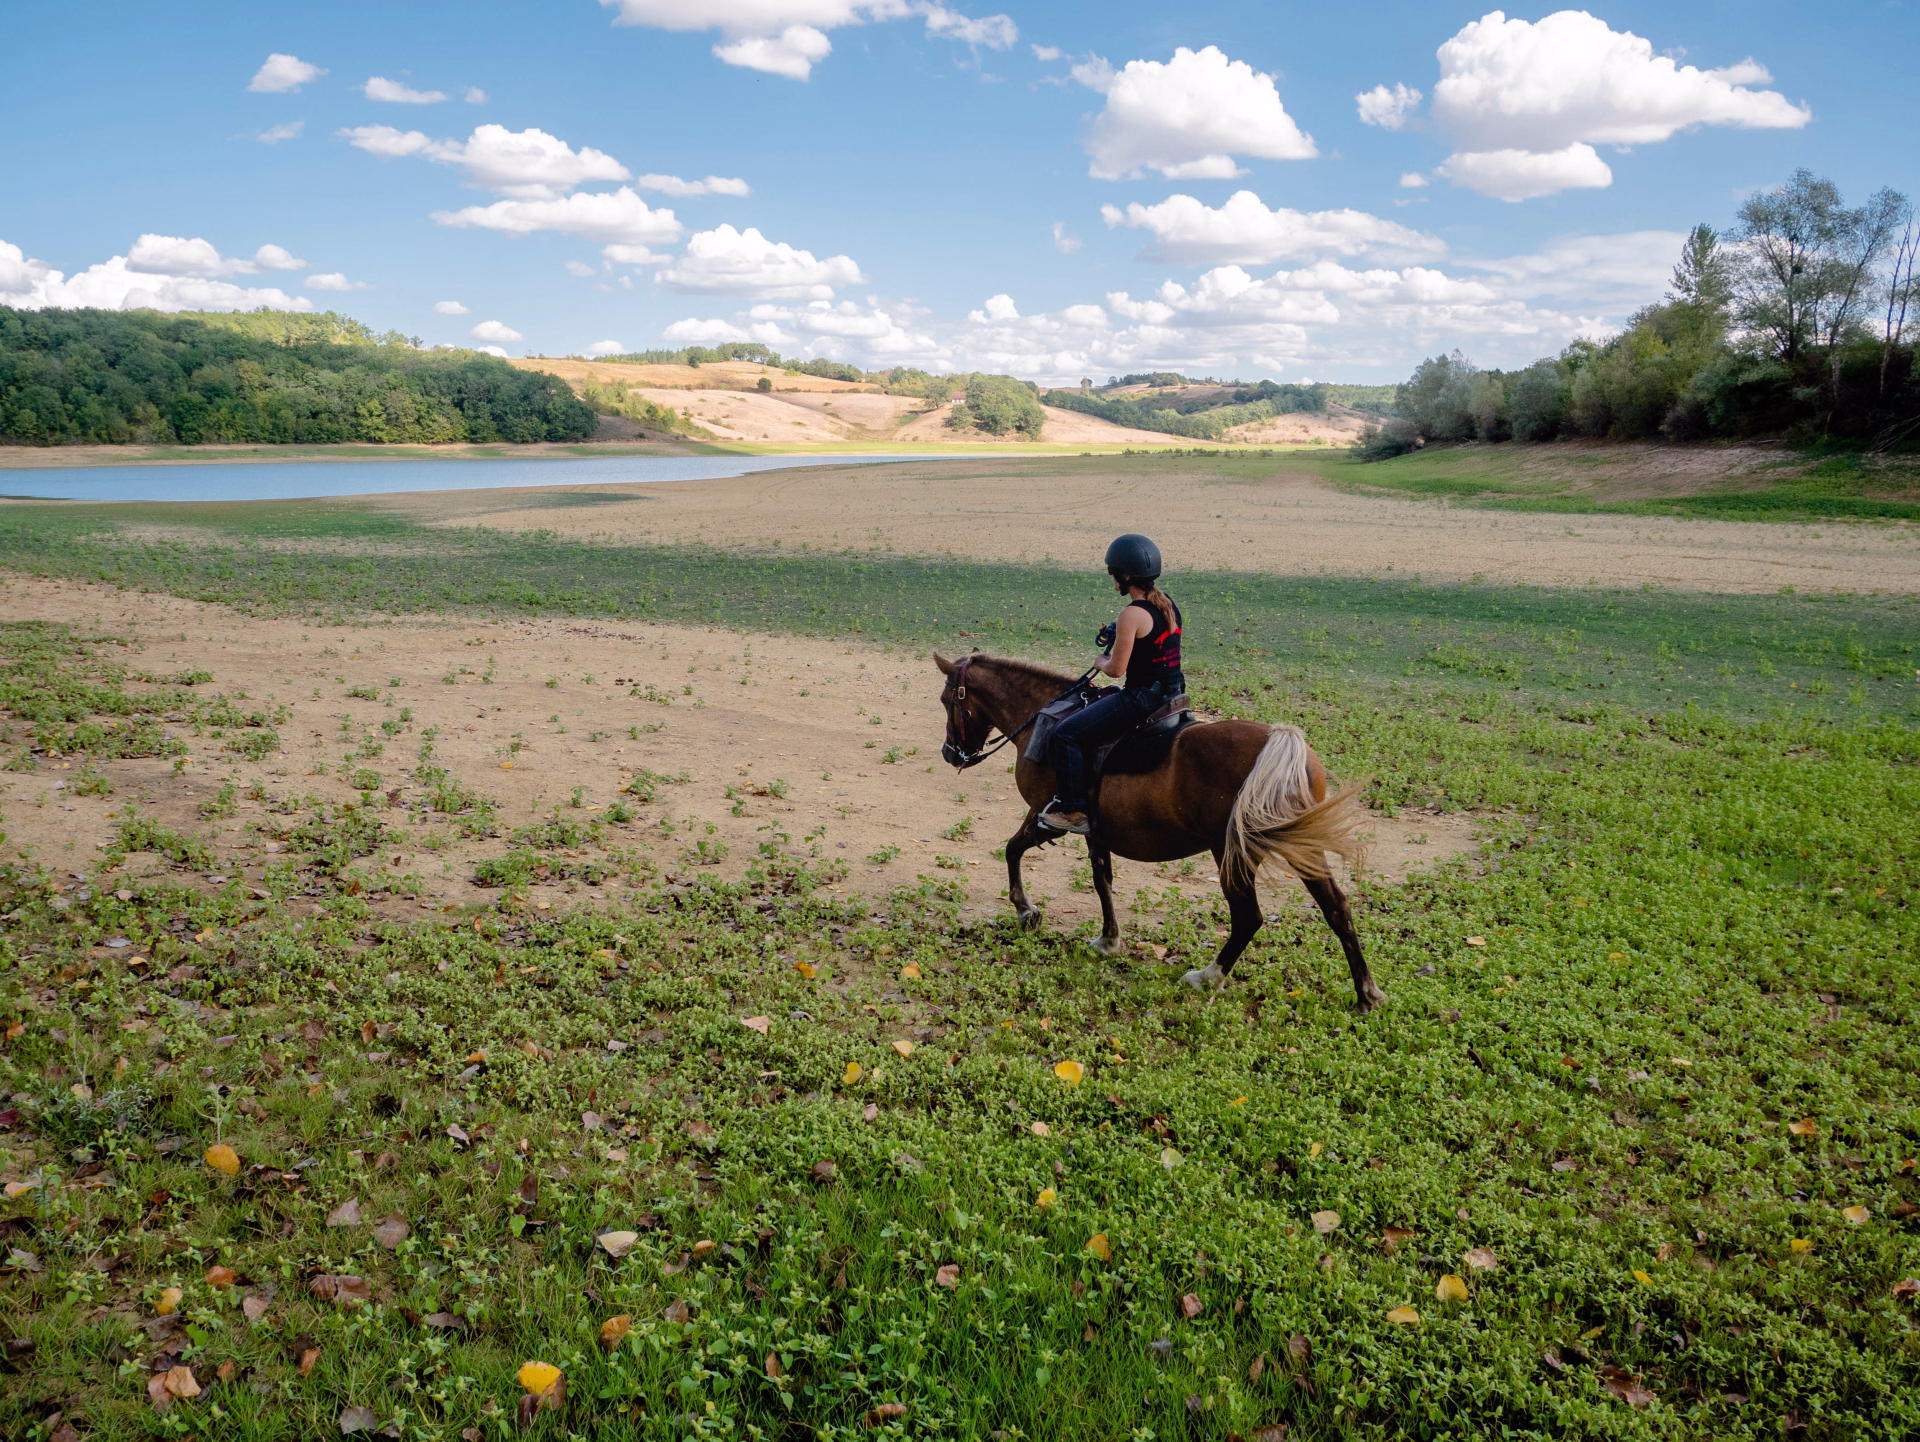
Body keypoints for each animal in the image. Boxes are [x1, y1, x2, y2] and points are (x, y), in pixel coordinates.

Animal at [934, 652, 1386, 1012]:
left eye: (946, 700)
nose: (949, 754)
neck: (1048, 718)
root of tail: (1279, 743)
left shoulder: (1047, 814)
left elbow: (1013, 849)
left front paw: (1025, 910)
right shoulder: (1096, 831)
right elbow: (1102, 880)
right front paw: (1109, 939)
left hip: (1230, 851)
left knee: (1247, 917)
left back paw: (1208, 977)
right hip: (1301, 848)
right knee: (1337, 908)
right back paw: (1366, 994)